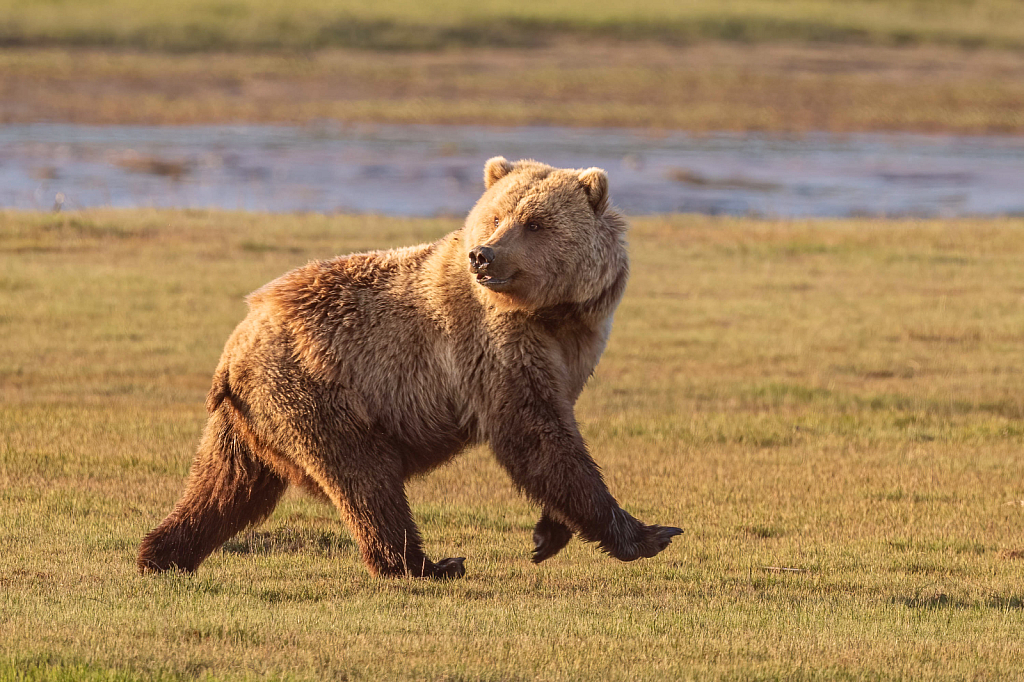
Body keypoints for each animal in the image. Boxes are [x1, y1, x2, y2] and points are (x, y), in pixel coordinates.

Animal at [136, 156, 679, 577]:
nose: (484, 256)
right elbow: (535, 434)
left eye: (536, 223)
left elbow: (552, 429)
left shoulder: (575, 346)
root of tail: (235, 346)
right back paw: (426, 564)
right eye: (496, 216)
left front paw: (549, 533)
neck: (553, 312)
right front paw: (648, 533)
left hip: (250, 415)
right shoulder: (494, 344)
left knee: (226, 485)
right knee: (366, 480)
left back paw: (162, 553)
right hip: (318, 391)